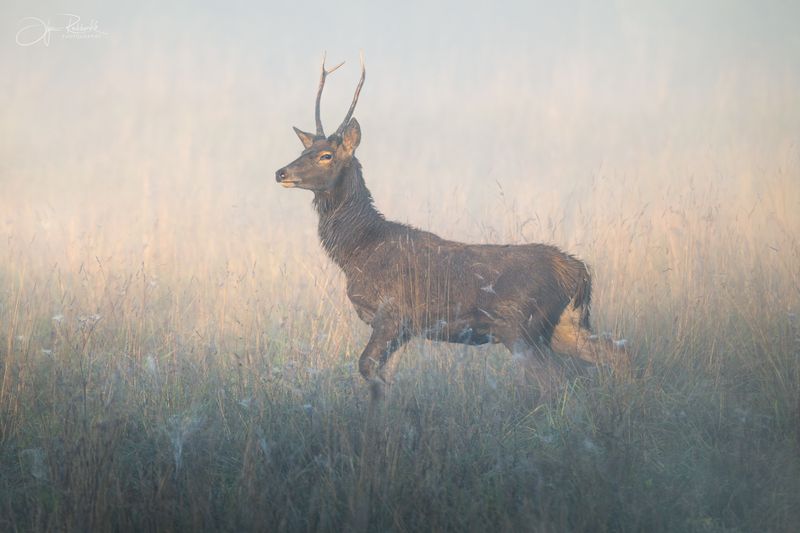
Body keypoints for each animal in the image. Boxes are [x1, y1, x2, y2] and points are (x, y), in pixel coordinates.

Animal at [275, 54, 626, 400]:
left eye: (326, 155)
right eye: (303, 150)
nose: (281, 172)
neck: (359, 251)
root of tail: (579, 272)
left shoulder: (392, 313)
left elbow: (366, 369)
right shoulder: (404, 328)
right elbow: (384, 379)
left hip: (520, 325)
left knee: (556, 379)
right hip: (563, 324)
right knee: (614, 353)